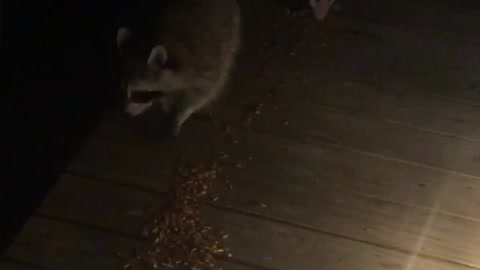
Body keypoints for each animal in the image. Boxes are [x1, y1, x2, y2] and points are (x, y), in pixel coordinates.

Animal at [115, 0, 242, 135]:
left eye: (140, 95)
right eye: (123, 87)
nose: (125, 111)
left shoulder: (205, 68)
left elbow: (203, 94)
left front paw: (181, 114)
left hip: (232, 31)